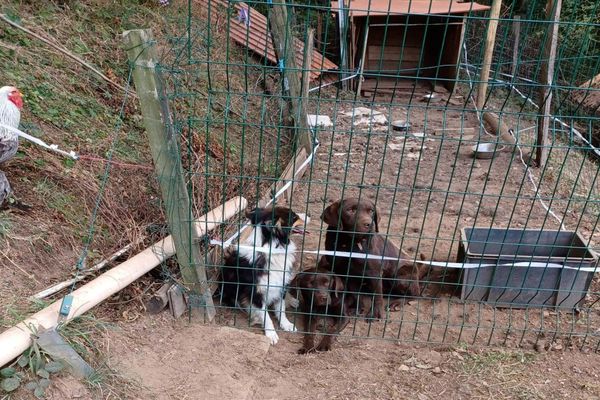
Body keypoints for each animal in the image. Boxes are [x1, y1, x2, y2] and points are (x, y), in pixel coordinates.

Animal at [219, 206, 310, 344]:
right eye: (294, 217)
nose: (309, 214)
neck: (271, 249)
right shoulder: (256, 292)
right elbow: (266, 315)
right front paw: (271, 334)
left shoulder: (280, 284)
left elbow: (281, 308)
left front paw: (286, 324)